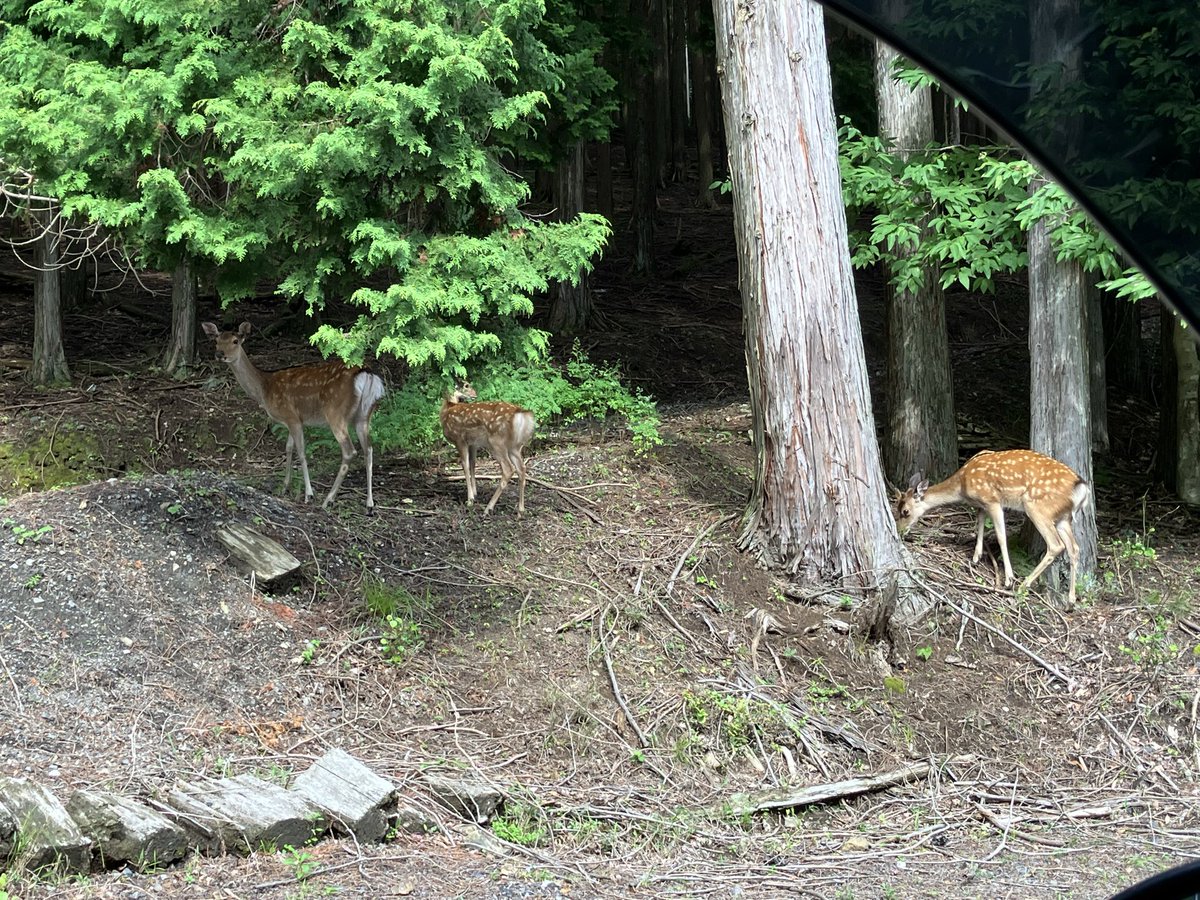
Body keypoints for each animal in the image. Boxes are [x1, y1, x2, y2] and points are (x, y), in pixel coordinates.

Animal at [202, 321, 386, 512]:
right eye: (216, 340)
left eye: (235, 341)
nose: (219, 354)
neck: (264, 388)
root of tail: (367, 374)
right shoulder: (292, 419)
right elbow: (289, 448)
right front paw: (285, 487)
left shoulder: (292, 417)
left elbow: (301, 452)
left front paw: (308, 494)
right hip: (364, 415)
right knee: (369, 449)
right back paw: (370, 504)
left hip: (336, 413)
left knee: (350, 451)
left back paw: (328, 500)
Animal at [439, 383, 536, 516]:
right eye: (466, 385)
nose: (475, 394)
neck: (447, 409)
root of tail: (520, 413)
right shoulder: (473, 444)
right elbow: (473, 464)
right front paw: (475, 493)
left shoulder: (460, 440)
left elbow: (465, 466)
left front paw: (470, 499)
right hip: (514, 446)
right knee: (522, 468)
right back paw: (520, 511)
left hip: (496, 442)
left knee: (508, 469)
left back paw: (488, 508)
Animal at [893, 449, 1090, 606]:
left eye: (905, 511)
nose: (900, 531)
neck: (962, 485)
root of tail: (1081, 488)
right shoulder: (981, 504)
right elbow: (979, 522)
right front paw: (976, 556)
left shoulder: (992, 500)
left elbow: (1001, 536)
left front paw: (1008, 579)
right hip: (1063, 517)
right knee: (1074, 548)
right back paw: (1071, 600)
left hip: (1037, 507)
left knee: (1056, 545)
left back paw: (1022, 585)